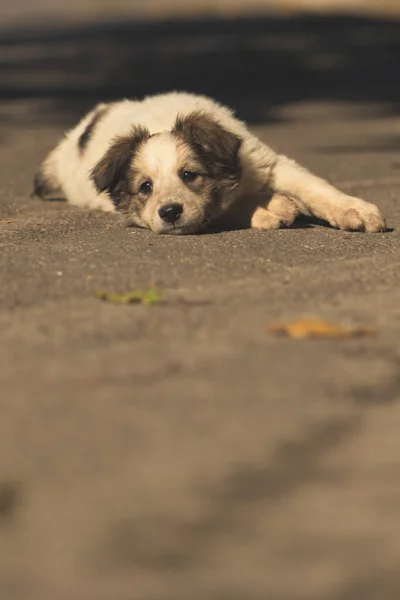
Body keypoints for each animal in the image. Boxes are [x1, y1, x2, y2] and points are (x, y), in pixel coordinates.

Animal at [33, 92, 384, 236]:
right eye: (145, 187)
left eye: (190, 175)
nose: (169, 212)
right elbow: (225, 208)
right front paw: (271, 209)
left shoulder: (264, 161)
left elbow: (313, 186)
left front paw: (354, 210)